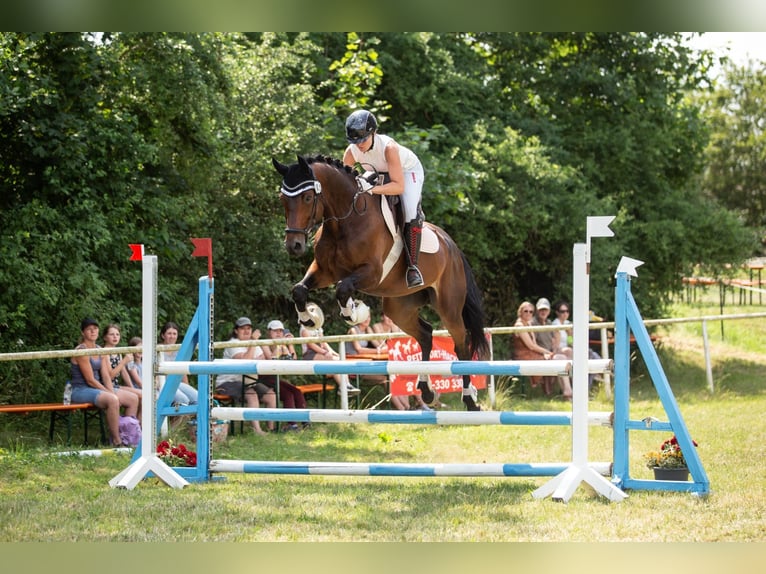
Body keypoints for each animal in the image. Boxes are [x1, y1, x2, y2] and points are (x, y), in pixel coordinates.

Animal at [272, 154, 489, 411]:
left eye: (307, 197)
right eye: (283, 199)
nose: (293, 246)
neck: (345, 220)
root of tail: (451, 245)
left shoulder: (371, 273)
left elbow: (343, 288)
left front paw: (353, 313)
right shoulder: (324, 271)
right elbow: (299, 290)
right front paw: (309, 319)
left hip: (448, 305)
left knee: (461, 342)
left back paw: (470, 399)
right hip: (399, 307)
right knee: (426, 334)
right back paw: (427, 391)